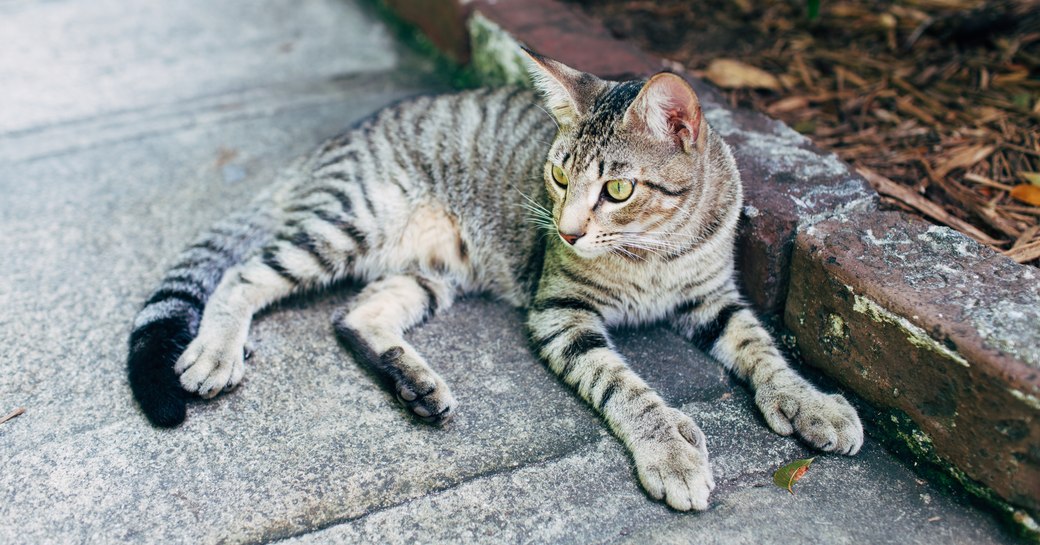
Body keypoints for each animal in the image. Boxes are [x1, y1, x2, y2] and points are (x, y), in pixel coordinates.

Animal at [127, 47, 861, 511]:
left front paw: (811, 402)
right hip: (351, 221)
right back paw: (216, 350)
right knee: (244, 273)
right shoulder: (560, 311)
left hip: (430, 268)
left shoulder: (716, 298)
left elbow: (763, 350)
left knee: (357, 314)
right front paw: (670, 451)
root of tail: (332, 145)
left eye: (617, 189)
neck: (653, 252)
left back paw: (415, 384)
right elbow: (624, 386)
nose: (567, 231)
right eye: (559, 175)